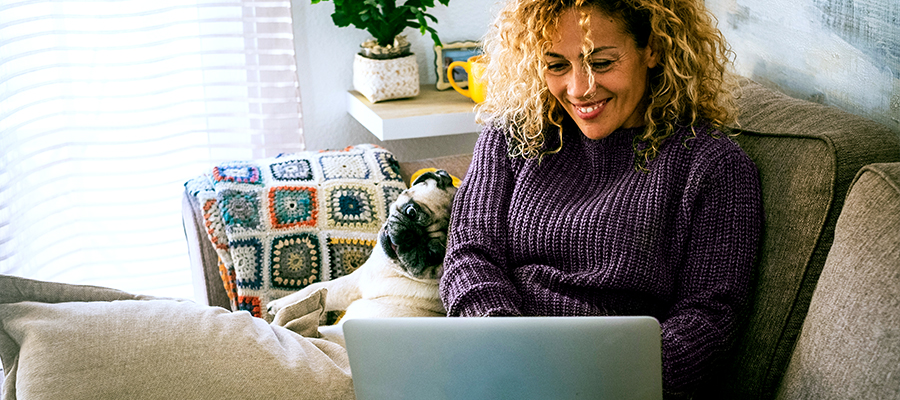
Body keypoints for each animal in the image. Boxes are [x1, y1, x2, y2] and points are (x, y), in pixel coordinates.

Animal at [262, 169, 458, 322]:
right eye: (411, 211)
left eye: (432, 255)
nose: (411, 238)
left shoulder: (352, 284)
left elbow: (315, 289)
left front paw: (278, 305)